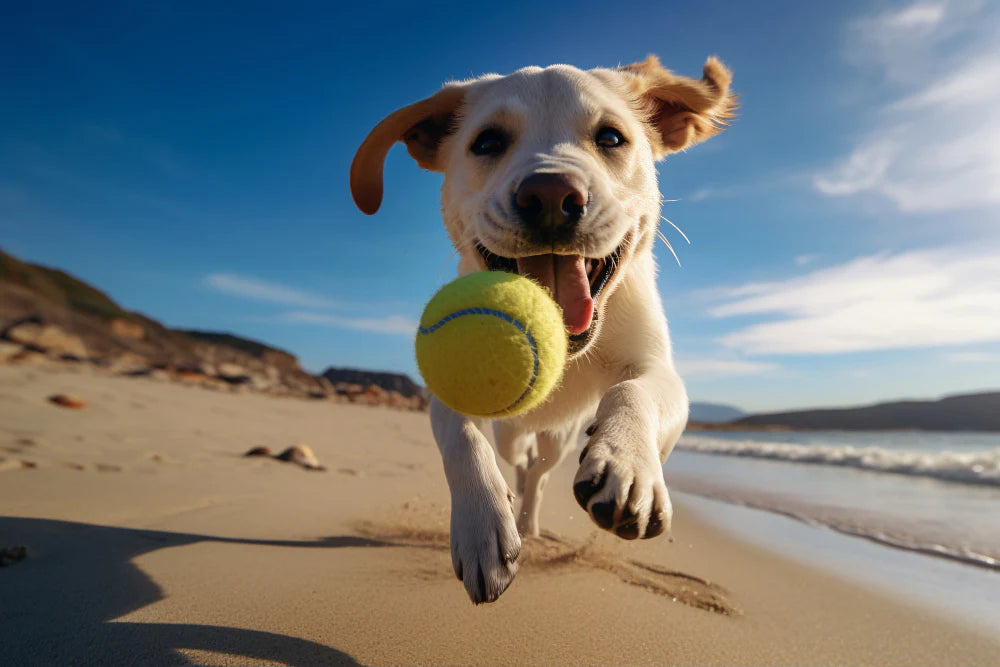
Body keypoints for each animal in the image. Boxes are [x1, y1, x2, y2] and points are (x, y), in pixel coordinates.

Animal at [350, 54, 736, 604]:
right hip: (513, 430)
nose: (551, 194)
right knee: (517, 457)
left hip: (560, 438)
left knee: (540, 473)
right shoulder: (447, 391)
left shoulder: (657, 370)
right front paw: (481, 526)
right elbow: (461, 440)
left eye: (611, 137)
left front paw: (628, 465)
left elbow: (633, 392)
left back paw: (531, 518)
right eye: (487, 141)